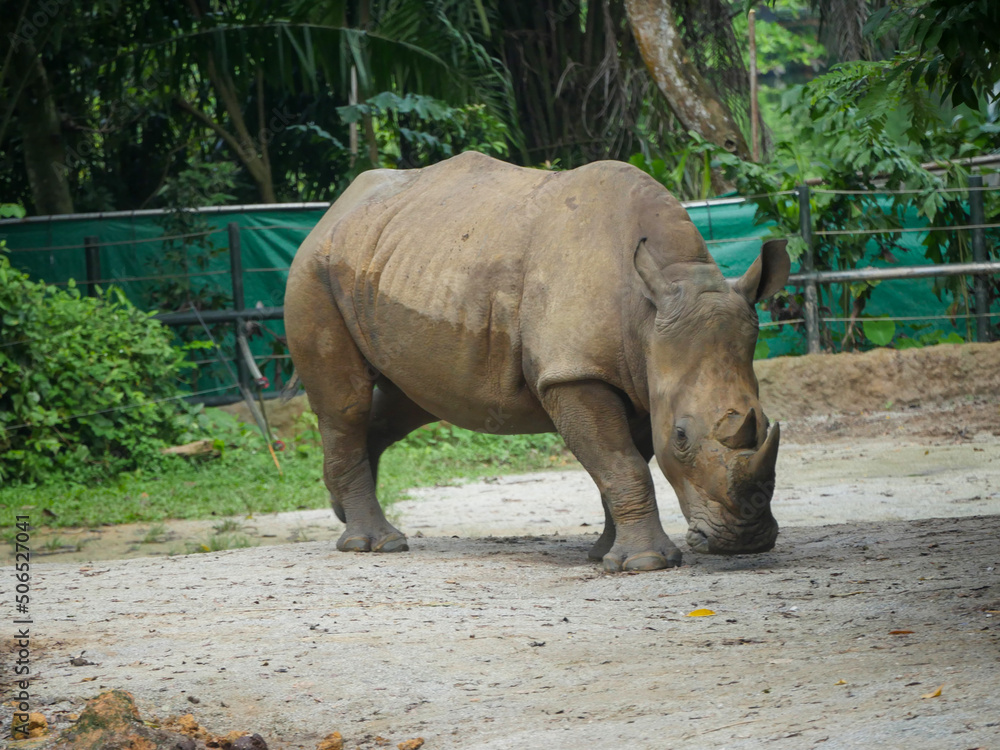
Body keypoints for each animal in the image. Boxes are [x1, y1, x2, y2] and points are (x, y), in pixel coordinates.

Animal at [285, 151, 789, 572]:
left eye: (767, 424)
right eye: (682, 437)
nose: (745, 541)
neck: (649, 313)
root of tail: (336, 208)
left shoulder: (642, 378)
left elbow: (626, 461)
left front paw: (605, 554)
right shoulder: (572, 374)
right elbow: (623, 463)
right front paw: (645, 563)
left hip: (396, 263)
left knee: (409, 400)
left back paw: (342, 509)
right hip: (313, 268)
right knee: (346, 403)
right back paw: (376, 545)